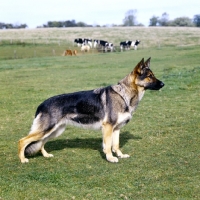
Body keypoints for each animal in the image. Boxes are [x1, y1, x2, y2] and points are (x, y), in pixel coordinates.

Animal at [18, 57, 164, 162]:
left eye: (153, 75)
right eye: (149, 76)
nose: (163, 84)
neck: (124, 94)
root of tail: (42, 104)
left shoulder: (116, 129)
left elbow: (116, 145)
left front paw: (120, 155)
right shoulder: (108, 128)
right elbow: (108, 146)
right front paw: (110, 158)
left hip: (54, 131)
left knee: (41, 143)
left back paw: (46, 155)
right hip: (46, 130)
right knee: (22, 141)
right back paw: (23, 159)